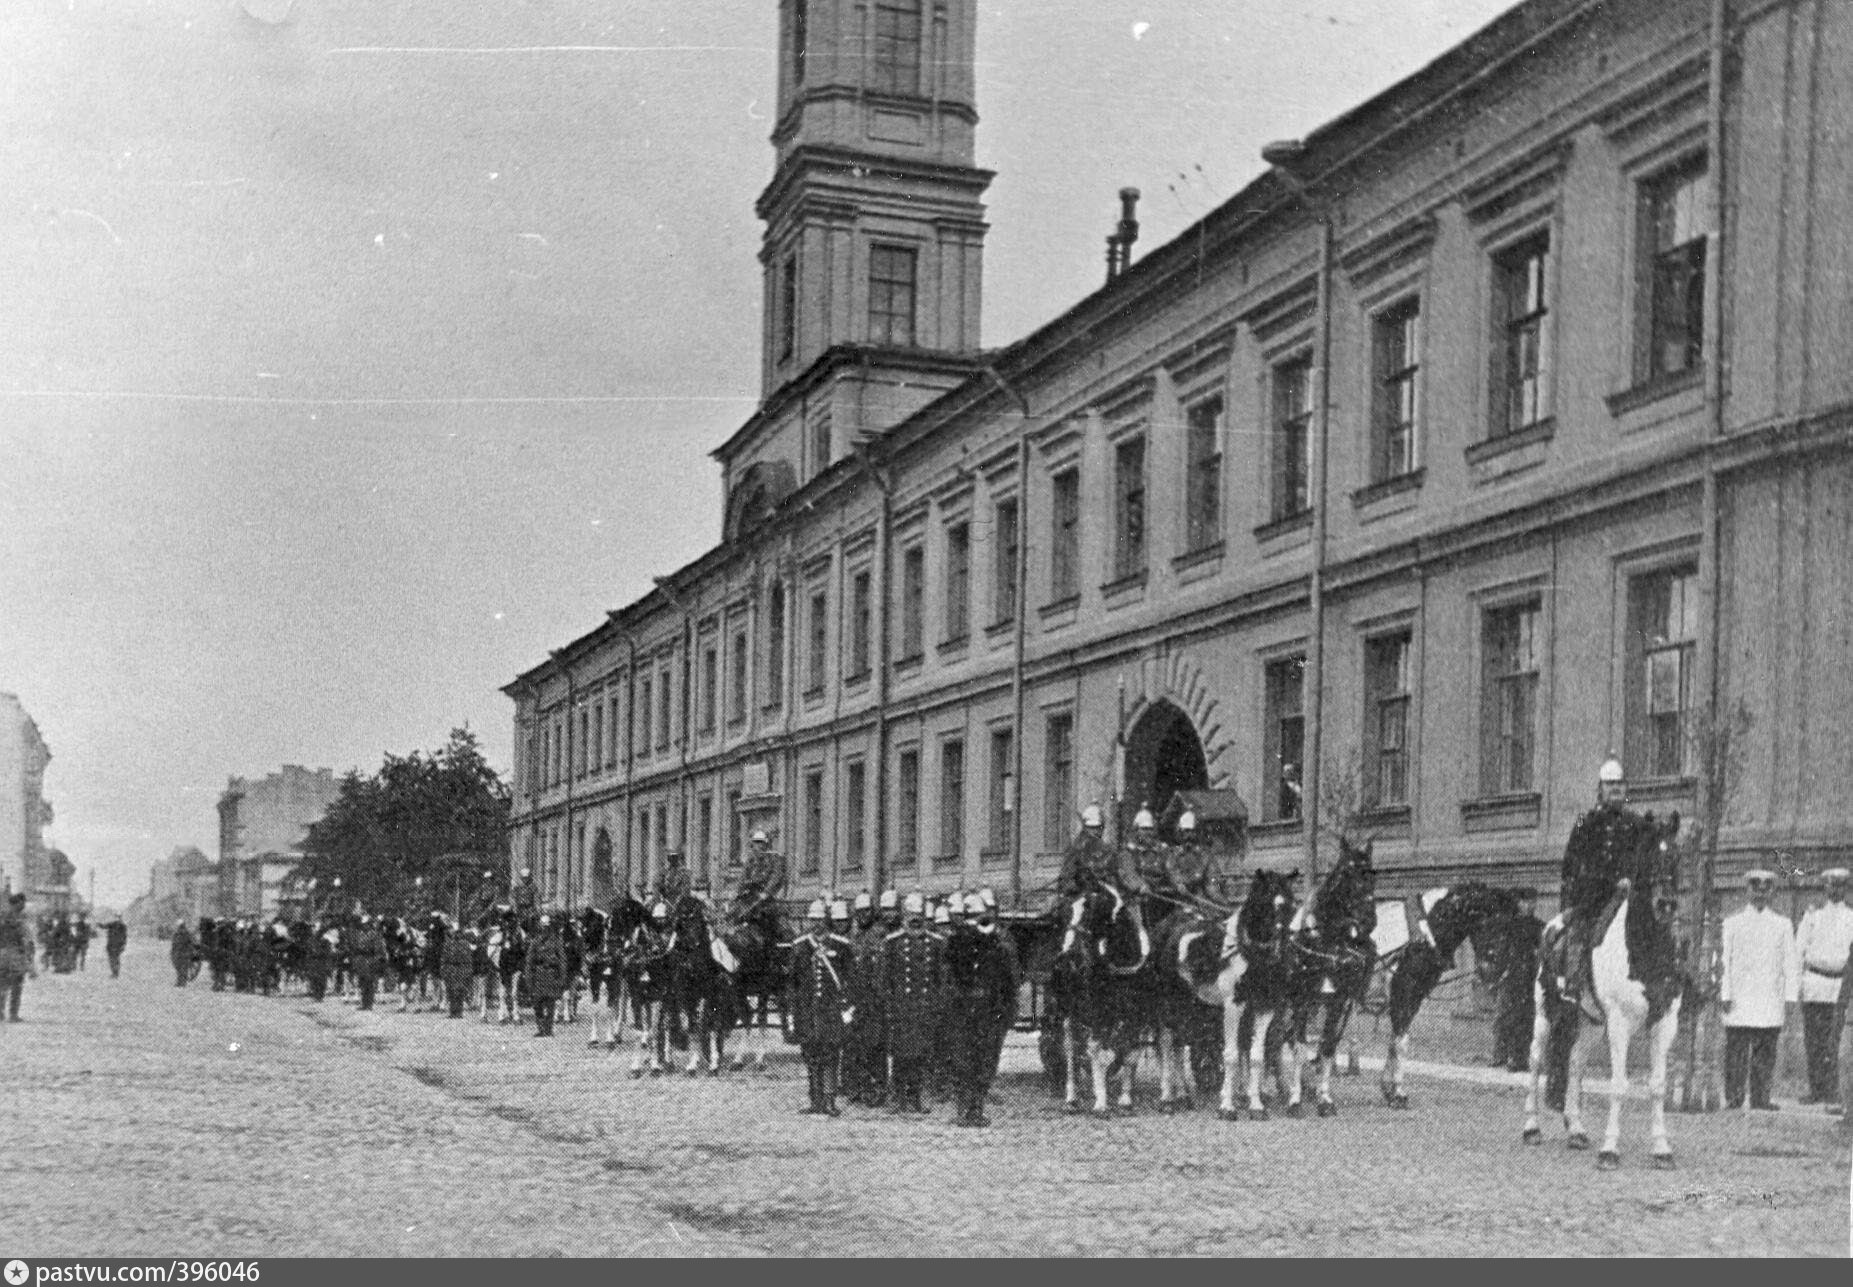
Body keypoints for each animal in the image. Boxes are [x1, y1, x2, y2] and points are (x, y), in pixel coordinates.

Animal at [1052, 885, 1148, 1118]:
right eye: (1062, 916)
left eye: (1092, 914)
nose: (1066, 961)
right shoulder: (1097, 1014)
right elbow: (1098, 1054)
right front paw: (1101, 1102)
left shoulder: (1137, 1014)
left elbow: (1131, 1054)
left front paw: (1125, 1100)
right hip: (1069, 1013)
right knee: (1072, 1049)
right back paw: (1072, 1098)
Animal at [1215, 870, 1304, 1125]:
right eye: (1265, 904)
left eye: (1292, 905)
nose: (1282, 947)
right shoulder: (1232, 1005)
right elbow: (1231, 1054)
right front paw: (1227, 1107)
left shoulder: (1268, 1007)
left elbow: (1258, 1055)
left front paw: (1256, 1105)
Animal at [1386, 881, 1526, 1111]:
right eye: (1493, 922)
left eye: (1512, 926)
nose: (1500, 970)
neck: (1423, 933)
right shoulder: (1404, 992)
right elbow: (1400, 1042)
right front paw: (1397, 1093)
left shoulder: (1413, 998)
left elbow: (1396, 1040)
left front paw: (1390, 1090)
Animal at [1526, 822, 1689, 1170]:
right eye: (1647, 855)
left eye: (1678, 856)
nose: (1666, 904)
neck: (1644, 951)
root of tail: (1553, 926)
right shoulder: (1619, 1024)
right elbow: (1618, 1085)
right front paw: (1609, 1149)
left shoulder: (1665, 1022)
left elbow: (1657, 1087)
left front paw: (1661, 1149)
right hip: (1546, 1012)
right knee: (1535, 1061)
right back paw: (1531, 1128)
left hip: (1590, 1022)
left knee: (1575, 1063)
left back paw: (1576, 1130)